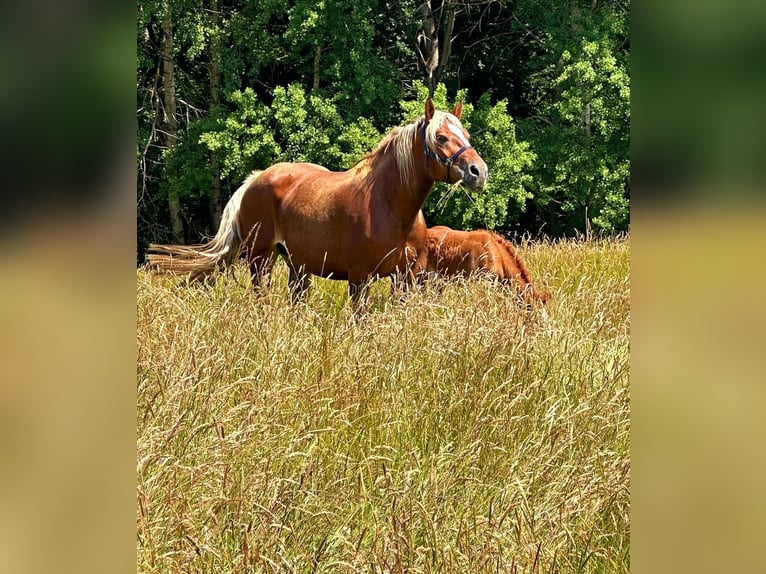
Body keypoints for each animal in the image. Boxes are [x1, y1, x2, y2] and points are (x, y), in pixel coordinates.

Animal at [146, 98, 488, 307]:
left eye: (466, 134)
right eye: (440, 137)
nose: (478, 171)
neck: (390, 206)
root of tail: (254, 180)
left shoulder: (406, 278)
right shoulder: (359, 278)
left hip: (298, 266)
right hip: (261, 260)